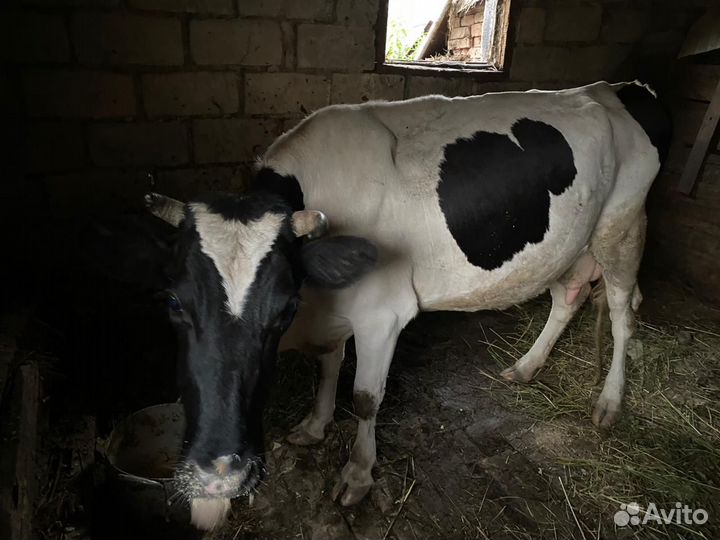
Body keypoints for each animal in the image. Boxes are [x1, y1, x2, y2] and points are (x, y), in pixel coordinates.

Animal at [142, 80, 670, 528]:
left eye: (283, 308)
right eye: (173, 301)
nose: (220, 470)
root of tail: (613, 89)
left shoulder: (382, 315)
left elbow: (364, 398)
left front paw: (357, 476)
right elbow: (327, 366)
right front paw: (314, 425)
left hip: (622, 226)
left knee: (622, 312)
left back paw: (609, 402)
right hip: (565, 246)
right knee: (567, 297)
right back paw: (526, 366)